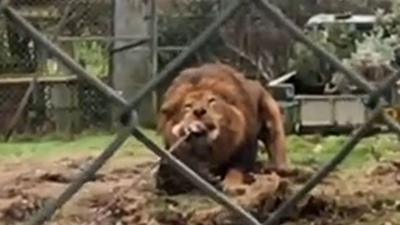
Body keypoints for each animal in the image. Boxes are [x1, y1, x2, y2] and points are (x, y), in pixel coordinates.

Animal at [155, 62, 290, 193]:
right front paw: (205, 175)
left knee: (276, 144)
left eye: (211, 100)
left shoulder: (246, 146)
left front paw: (231, 184)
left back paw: (278, 169)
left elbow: (236, 169)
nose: (199, 111)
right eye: (188, 106)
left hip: (270, 112)